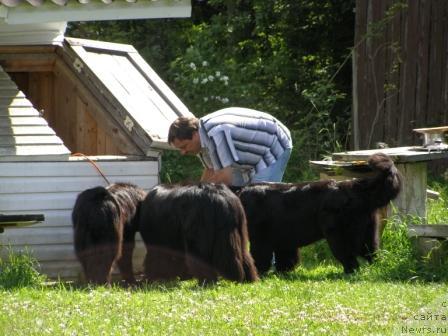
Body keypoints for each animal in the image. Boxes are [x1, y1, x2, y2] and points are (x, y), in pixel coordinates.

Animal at [236, 152, 400, 272]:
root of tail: (354, 187)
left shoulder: (261, 239)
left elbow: (259, 256)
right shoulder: (283, 238)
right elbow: (285, 257)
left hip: (338, 235)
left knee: (350, 259)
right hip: (367, 233)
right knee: (372, 254)